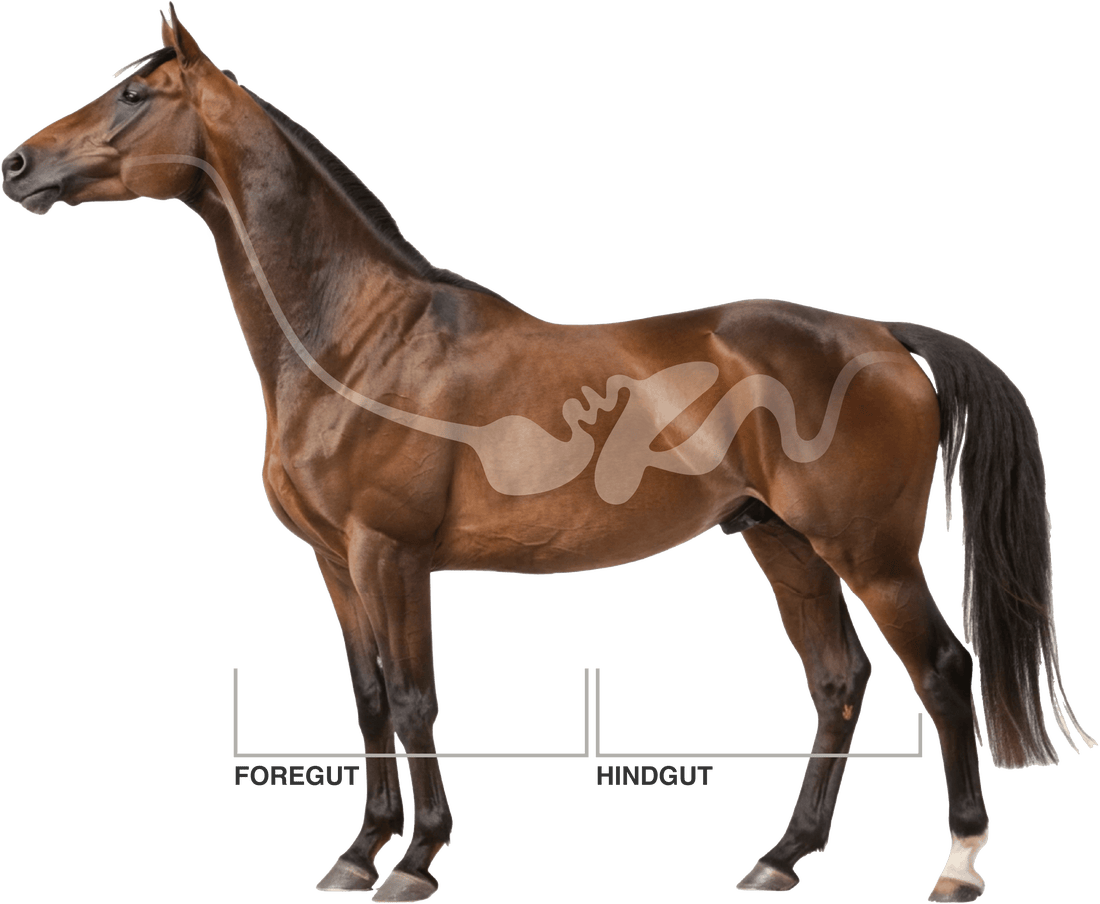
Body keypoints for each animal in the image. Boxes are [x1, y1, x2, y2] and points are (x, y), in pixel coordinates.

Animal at [3, 6, 1094, 902]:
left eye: (134, 94)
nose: (18, 164)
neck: (358, 341)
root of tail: (881, 336)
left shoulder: (390, 553)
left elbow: (415, 700)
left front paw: (416, 859)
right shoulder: (334, 562)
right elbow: (368, 700)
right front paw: (357, 852)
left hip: (867, 552)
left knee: (941, 670)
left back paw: (957, 863)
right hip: (779, 541)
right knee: (838, 681)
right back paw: (780, 856)